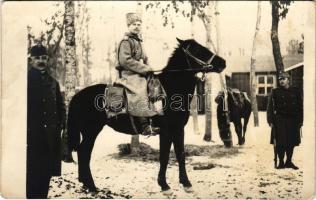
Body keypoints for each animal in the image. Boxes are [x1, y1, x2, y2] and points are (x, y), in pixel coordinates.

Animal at [66, 38, 226, 191]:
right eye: (198, 50)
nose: (223, 62)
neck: (171, 89)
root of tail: (78, 95)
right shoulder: (166, 131)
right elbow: (164, 156)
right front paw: (164, 185)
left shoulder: (178, 129)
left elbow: (180, 154)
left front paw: (185, 183)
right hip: (91, 131)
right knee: (84, 152)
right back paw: (91, 185)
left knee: (83, 152)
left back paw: (85, 183)